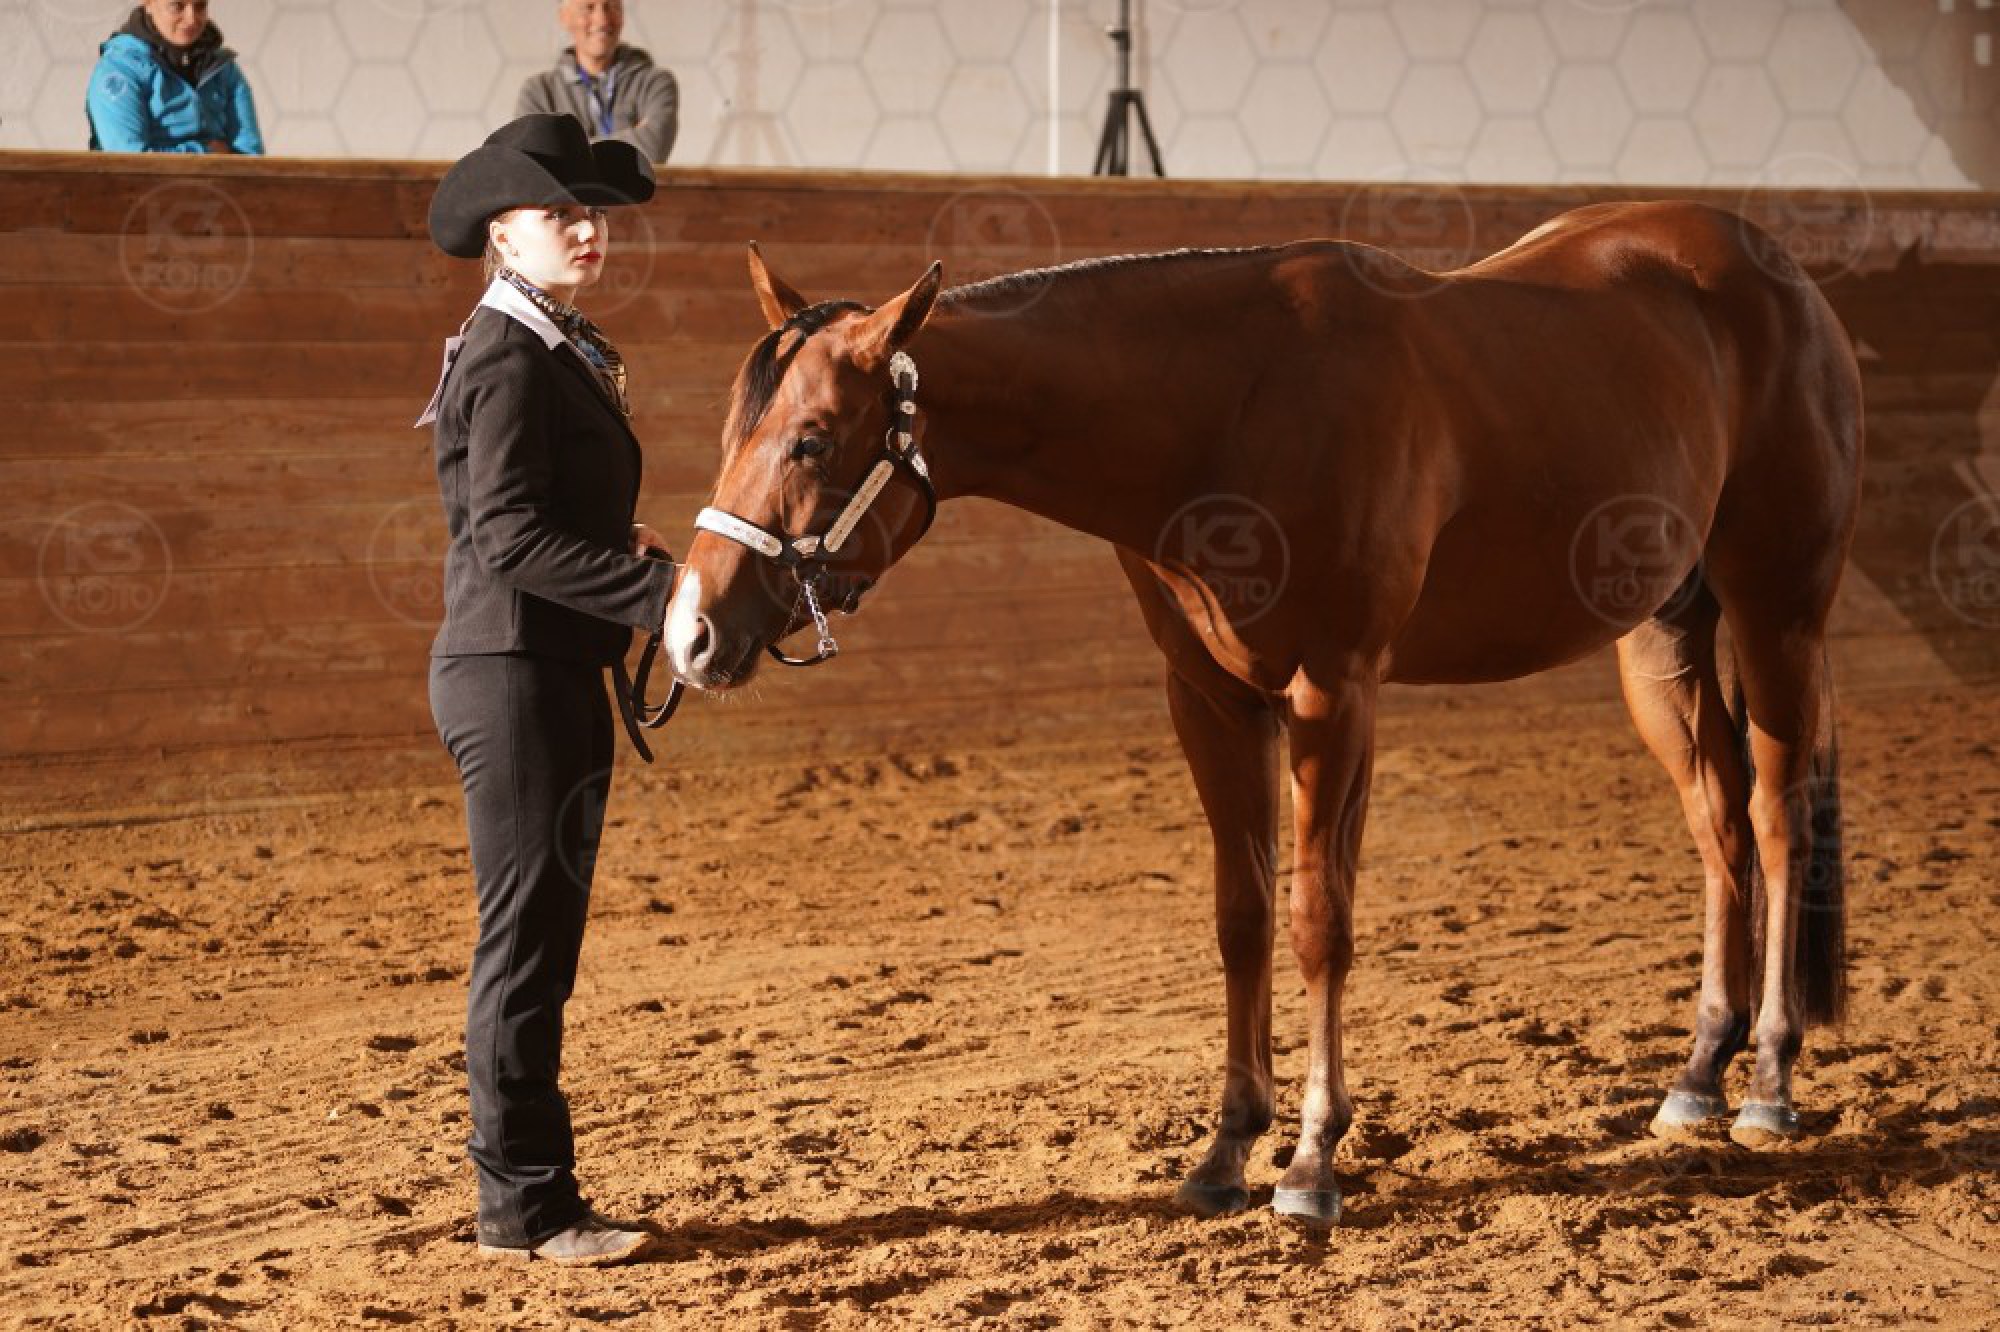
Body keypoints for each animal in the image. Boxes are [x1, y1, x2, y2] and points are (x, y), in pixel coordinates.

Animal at [661, 200, 1863, 1226]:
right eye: (732, 428)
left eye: (814, 438)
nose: (691, 634)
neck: (1226, 408)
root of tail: (1779, 274)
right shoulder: (1210, 696)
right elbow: (1239, 916)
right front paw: (1225, 1147)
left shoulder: (1335, 688)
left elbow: (1317, 919)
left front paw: (1311, 1160)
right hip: (1659, 642)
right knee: (1716, 832)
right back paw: (1697, 1074)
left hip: (1777, 615)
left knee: (1772, 821)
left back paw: (1767, 1079)